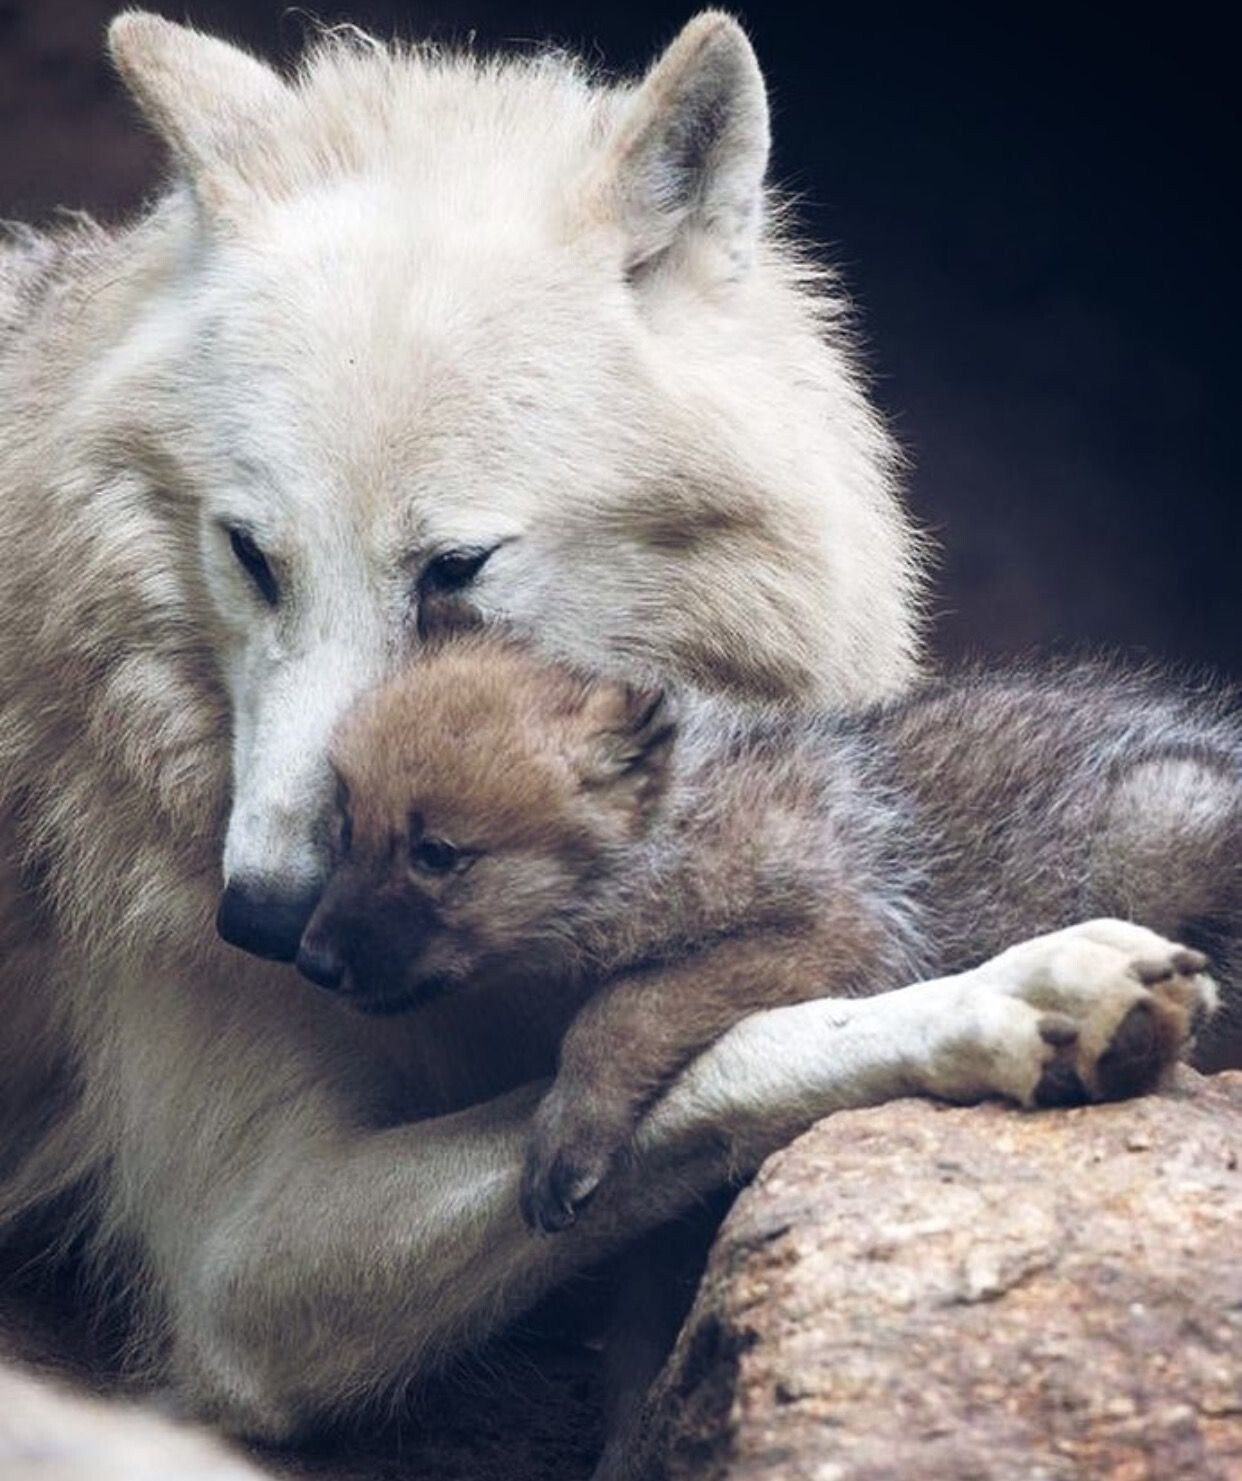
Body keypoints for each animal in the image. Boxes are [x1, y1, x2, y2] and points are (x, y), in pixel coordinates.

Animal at [0, 5, 1213, 1451]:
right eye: (249, 553)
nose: (262, 922)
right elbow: (728, 1052)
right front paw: (1021, 993)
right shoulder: (245, 1254)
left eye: (454, 571)